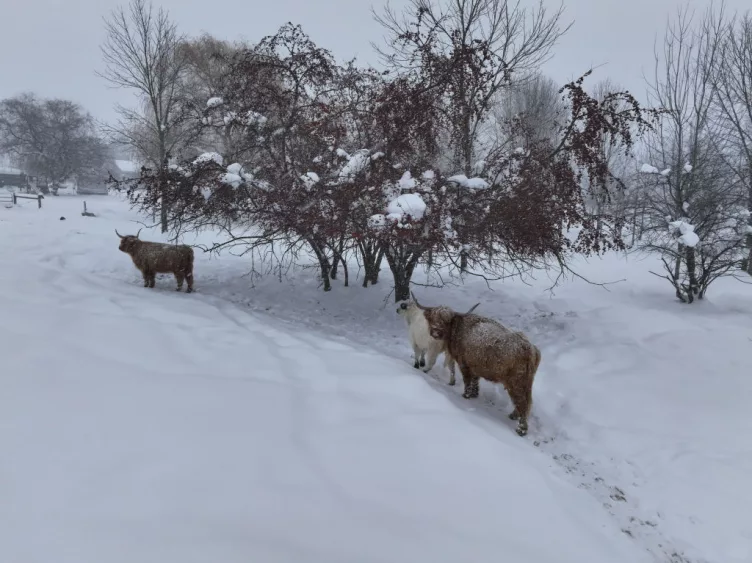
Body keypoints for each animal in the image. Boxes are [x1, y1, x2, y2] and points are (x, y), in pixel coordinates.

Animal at [424, 306, 540, 438]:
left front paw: (466, 396)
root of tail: (531, 348)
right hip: (525, 384)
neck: (457, 327)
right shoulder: (474, 367)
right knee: (525, 402)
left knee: (523, 403)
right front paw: (474, 394)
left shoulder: (464, 365)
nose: (435, 332)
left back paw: (521, 429)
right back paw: (513, 416)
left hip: (516, 383)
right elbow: (475, 381)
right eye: (432, 318)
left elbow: (467, 381)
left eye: (445, 321)